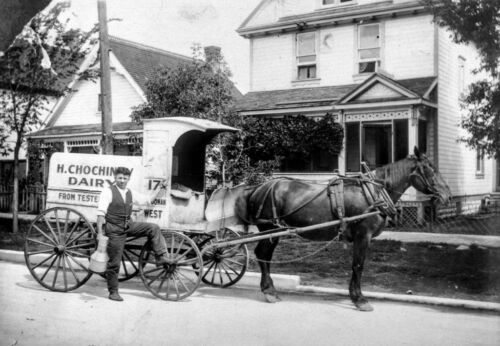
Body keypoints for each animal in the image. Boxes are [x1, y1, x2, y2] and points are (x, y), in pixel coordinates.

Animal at [232, 146, 452, 310]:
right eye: (430, 169)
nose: (447, 196)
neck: (374, 193)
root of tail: (257, 188)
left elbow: (356, 266)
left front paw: (354, 296)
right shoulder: (363, 235)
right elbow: (358, 265)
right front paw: (360, 299)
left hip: (273, 231)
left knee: (264, 256)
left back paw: (269, 290)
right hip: (270, 229)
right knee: (263, 255)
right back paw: (269, 291)